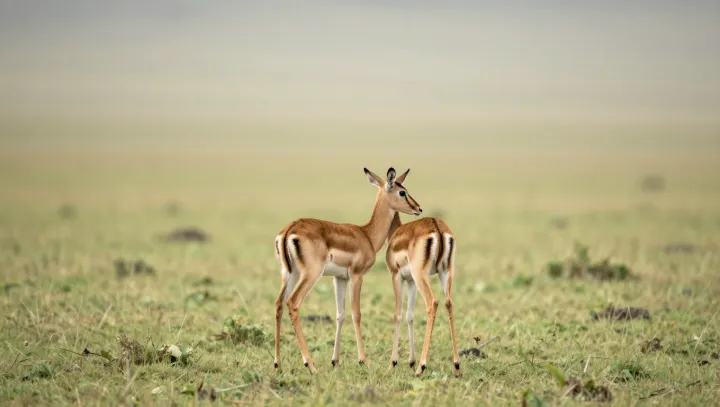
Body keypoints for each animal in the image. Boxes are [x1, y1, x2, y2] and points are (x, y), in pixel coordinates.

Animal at [273, 167, 423, 374]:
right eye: (402, 192)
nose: (419, 208)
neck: (367, 235)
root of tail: (290, 230)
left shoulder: (340, 278)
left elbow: (340, 314)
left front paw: (335, 361)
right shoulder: (357, 275)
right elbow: (356, 313)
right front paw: (364, 360)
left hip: (289, 274)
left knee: (279, 303)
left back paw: (277, 363)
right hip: (310, 275)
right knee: (292, 303)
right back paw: (310, 364)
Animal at [384, 177, 461, 377]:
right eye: (402, 192)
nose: (418, 208)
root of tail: (437, 227)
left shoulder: (397, 276)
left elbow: (398, 314)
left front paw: (393, 363)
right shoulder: (410, 281)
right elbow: (410, 315)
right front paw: (410, 361)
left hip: (422, 277)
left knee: (432, 302)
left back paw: (422, 366)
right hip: (445, 273)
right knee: (449, 302)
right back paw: (457, 366)